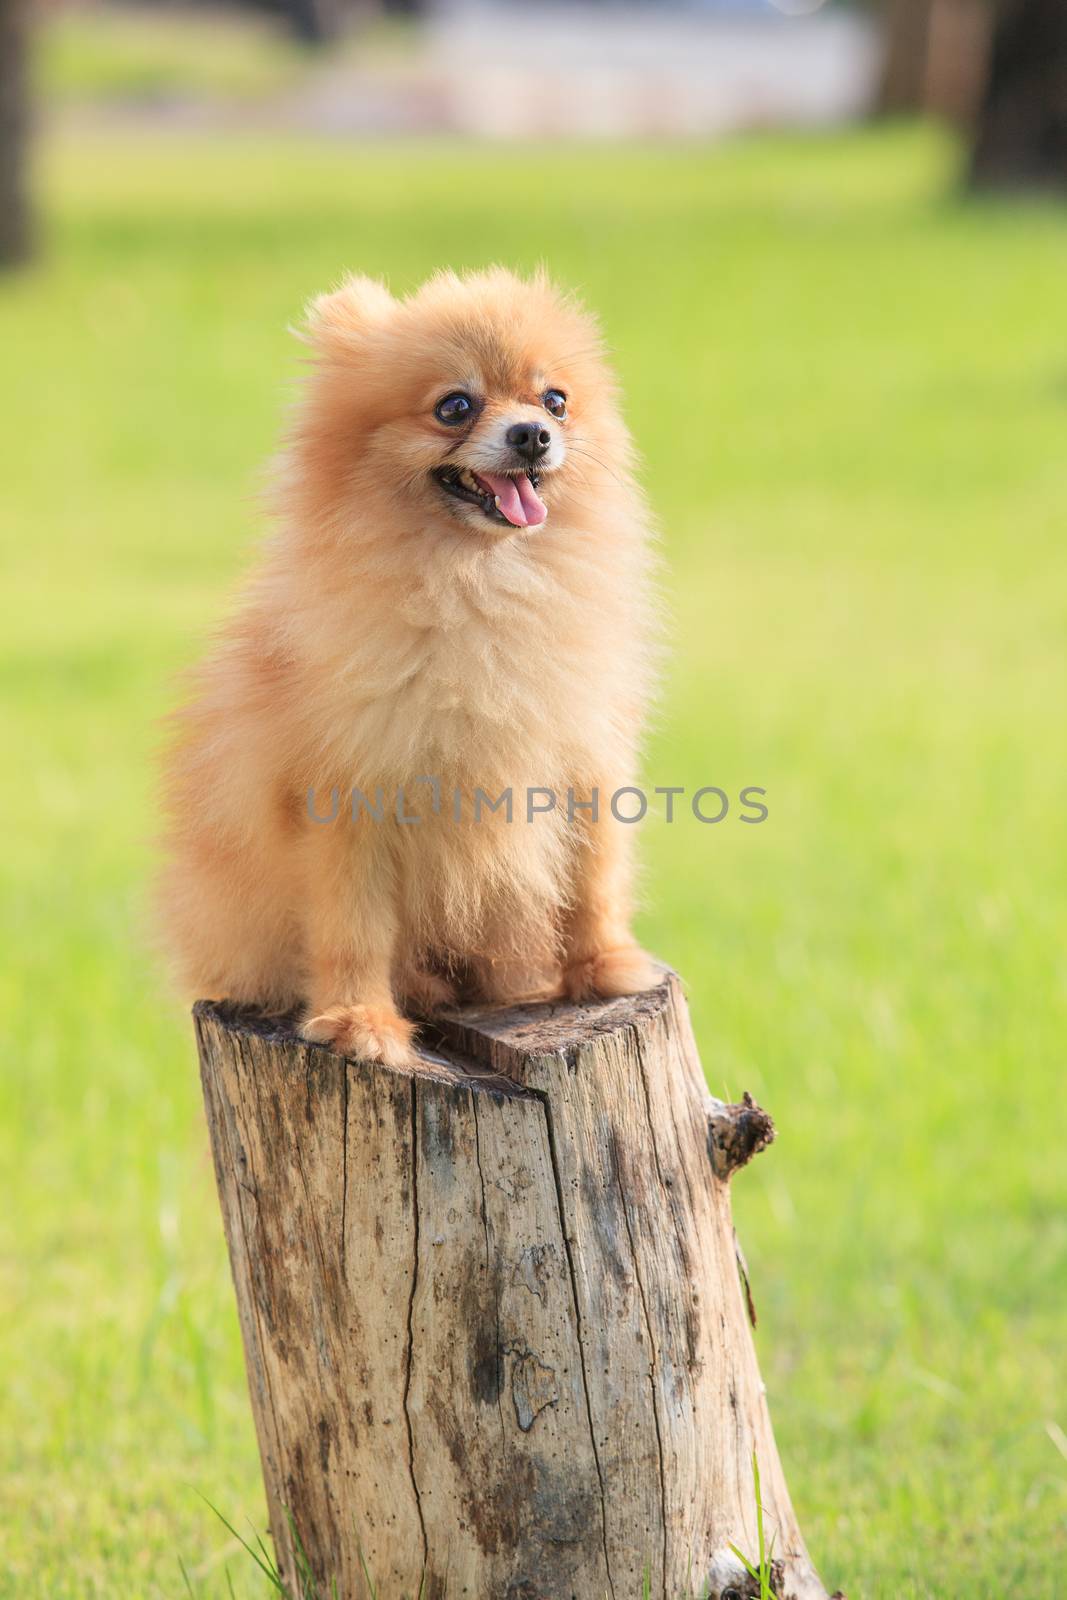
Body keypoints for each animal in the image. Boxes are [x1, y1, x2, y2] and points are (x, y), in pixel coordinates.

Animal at [158, 268, 659, 1068]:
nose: (533, 434)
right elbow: (353, 925)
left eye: (554, 399)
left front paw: (605, 968)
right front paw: (359, 1022)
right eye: (454, 406)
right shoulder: (348, 796)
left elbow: (592, 879)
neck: (477, 582)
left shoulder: (583, 757)